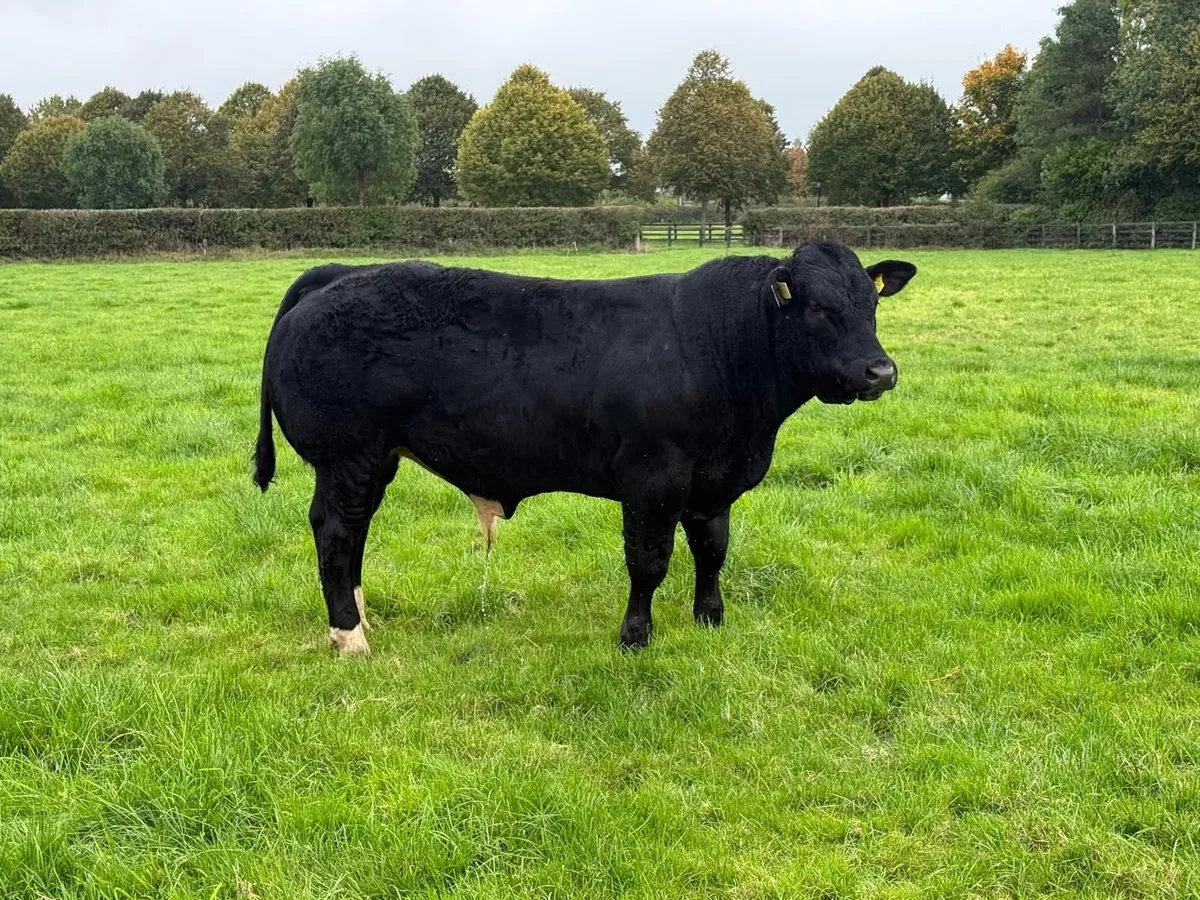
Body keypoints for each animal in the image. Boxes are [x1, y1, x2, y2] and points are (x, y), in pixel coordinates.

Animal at [253, 242, 916, 656]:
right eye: (818, 307)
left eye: (872, 303)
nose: (880, 372)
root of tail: (337, 272)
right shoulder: (652, 481)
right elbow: (649, 562)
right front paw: (635, 636)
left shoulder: (716, 482)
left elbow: (712, 550)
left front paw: (710, 619)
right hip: (348, 456)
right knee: (336, 533)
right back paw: (350, 636)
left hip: (375, 459)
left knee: (355, 533)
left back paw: (360, 617)